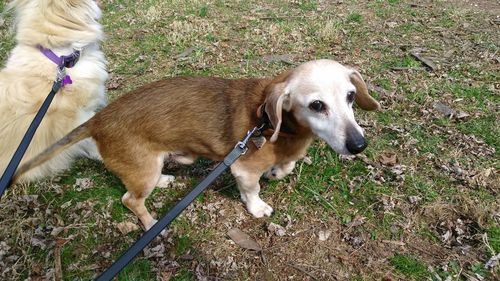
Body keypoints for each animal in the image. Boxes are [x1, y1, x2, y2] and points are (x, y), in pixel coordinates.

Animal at [12, 59, 378, 230]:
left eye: (350, 97)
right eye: (316, 105)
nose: (359, 145)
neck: (275, 124)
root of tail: (98, 120)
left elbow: (285, 166)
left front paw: (278, 171)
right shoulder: (242, 168)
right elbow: (253, 191)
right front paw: (258, 207)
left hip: (149, 166)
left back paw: (164, 180)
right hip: (141, 175)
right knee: (130, 199)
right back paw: (150, 223)